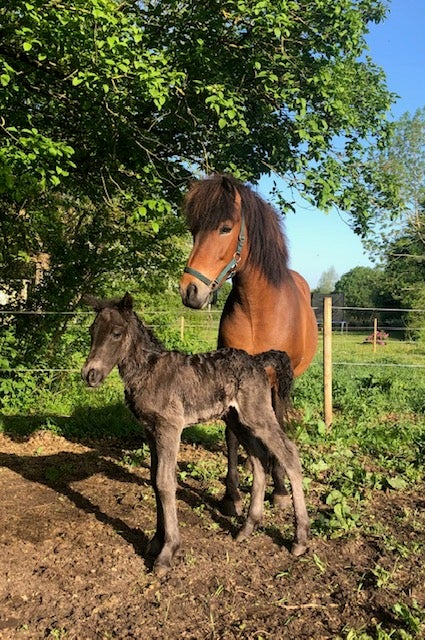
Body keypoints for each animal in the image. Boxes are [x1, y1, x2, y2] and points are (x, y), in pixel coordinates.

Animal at [82, 292, 308, 576]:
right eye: (92, 331)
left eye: (116, 332)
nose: (90, 375)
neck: (149, 371)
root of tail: (257, 361)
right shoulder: (151, 431)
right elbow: (154, 481)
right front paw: (155, 541)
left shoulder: (170, 428)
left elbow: (165, 482)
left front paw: (167, 552)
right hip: (237, 420)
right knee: (259, 460)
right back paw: (247, 527)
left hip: (258, 415)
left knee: (289, 454)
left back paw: (299, 539)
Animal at [177, 174, 316, 516]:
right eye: (194, 230)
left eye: (226, 228)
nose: (190, 290)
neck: (259, 310)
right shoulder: (230, 376)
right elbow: (231, 435)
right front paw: (232, 496)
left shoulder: (277, 380)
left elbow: (277, 426)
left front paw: (279, 489)